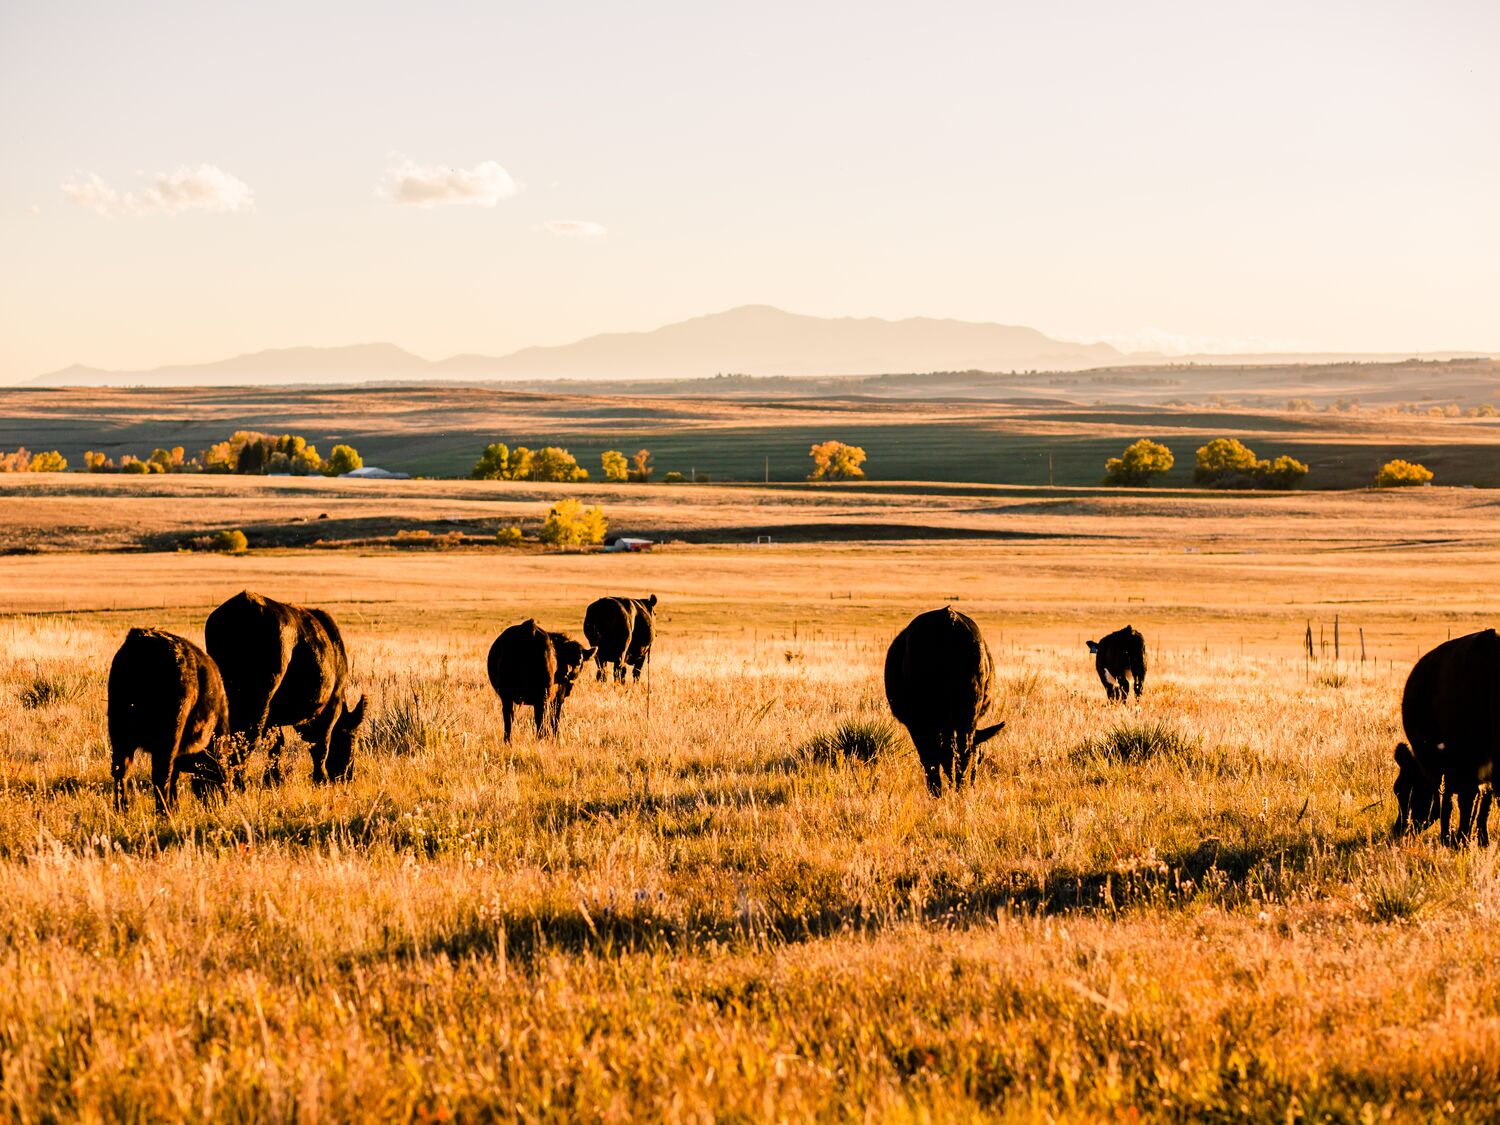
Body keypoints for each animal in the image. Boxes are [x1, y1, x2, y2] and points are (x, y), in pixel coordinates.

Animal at [108, 628, 231, 812]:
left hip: (120, 733)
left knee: (120, 771)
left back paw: (123, 808)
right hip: (169, 734)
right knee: (161, 775)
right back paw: (165, 812)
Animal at [204, 591, 367, 785]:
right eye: (352, 738)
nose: (348, 776)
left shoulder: (273, 717)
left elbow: (277, 745)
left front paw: (274, 778)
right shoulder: (331, 706)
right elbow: (320, 746)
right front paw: (320, 778)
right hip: (258, 699)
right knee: (247, 737)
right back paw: (240, 780)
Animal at [884, 607, 1006, 795]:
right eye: (980, 759)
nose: (973, 783)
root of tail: (949, 619)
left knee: (942, 756)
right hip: (967, 713)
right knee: (960, 752)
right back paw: (958, 789)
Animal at [1392, 629, 1500, 845]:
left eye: (1400, 790)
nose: (1398, 828)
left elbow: (1448, 800)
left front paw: (1449, 836)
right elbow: (1484, 801)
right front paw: (1481, 839)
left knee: (1467, 796)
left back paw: (1460, 837)